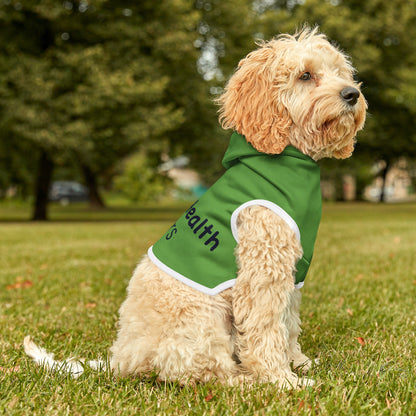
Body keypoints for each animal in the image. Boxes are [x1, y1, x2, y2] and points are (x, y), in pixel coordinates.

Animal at [24, 27, 366, 388]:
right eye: (305, 75)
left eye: (340, 72)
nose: (352, 94)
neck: (286, 157)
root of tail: (121, 359)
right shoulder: (263, 269)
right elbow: (266, 328)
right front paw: (281, 380)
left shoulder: (292, 272)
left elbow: (288, 323)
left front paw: (298, 363)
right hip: (202, 317)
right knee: (199, 371)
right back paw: (244, 380)